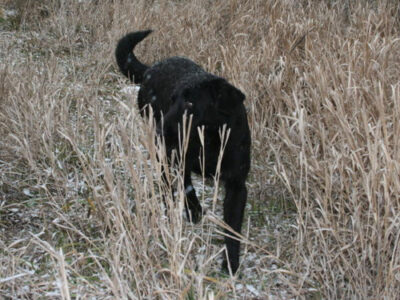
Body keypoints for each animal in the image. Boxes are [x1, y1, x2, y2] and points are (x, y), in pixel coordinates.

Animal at [114, 30, 250, 274]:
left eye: (190, 103)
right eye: (173, 99)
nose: (160, 129)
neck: (211, 140)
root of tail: (150, 69)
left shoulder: (237, 184)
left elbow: (232, 229)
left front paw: (231, 263)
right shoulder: (176, 156)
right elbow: (187, 187)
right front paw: (193, 210)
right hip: (164, 153)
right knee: (169, 184)